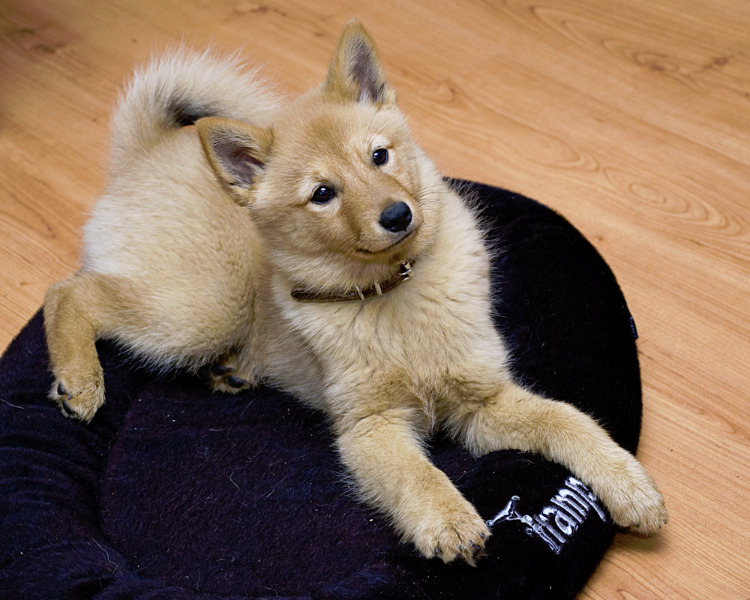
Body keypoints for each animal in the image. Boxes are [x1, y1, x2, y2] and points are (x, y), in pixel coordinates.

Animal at [44, 18, 668, 564]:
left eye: (379, 155)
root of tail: (141, 156)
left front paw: (628, 485)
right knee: (68, 293)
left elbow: (568, 420)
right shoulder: (371, 426)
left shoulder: (483, 402)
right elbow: (418, 473)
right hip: (202, 309)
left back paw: (229, 370)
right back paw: (81, 380)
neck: (395, 289)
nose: (397, 215)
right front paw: (447, 518)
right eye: (322, 193)